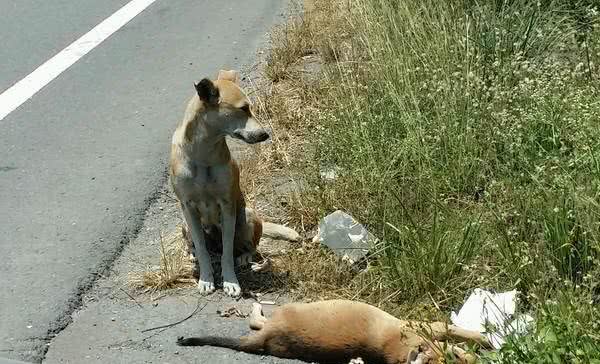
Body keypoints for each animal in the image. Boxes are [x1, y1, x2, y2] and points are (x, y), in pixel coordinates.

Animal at [170, 69, 296, 298]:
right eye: (243, 109)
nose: (265, 134)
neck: (203, 154)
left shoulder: (227, 205)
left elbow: (227, 252)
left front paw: (230, 281)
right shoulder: (188, 206)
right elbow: (202, 248)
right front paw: (206, 278)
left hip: (247, 215)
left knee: (249, 247)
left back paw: (244, 257)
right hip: (184, 222)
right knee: (198, 244)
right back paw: (192, 252)